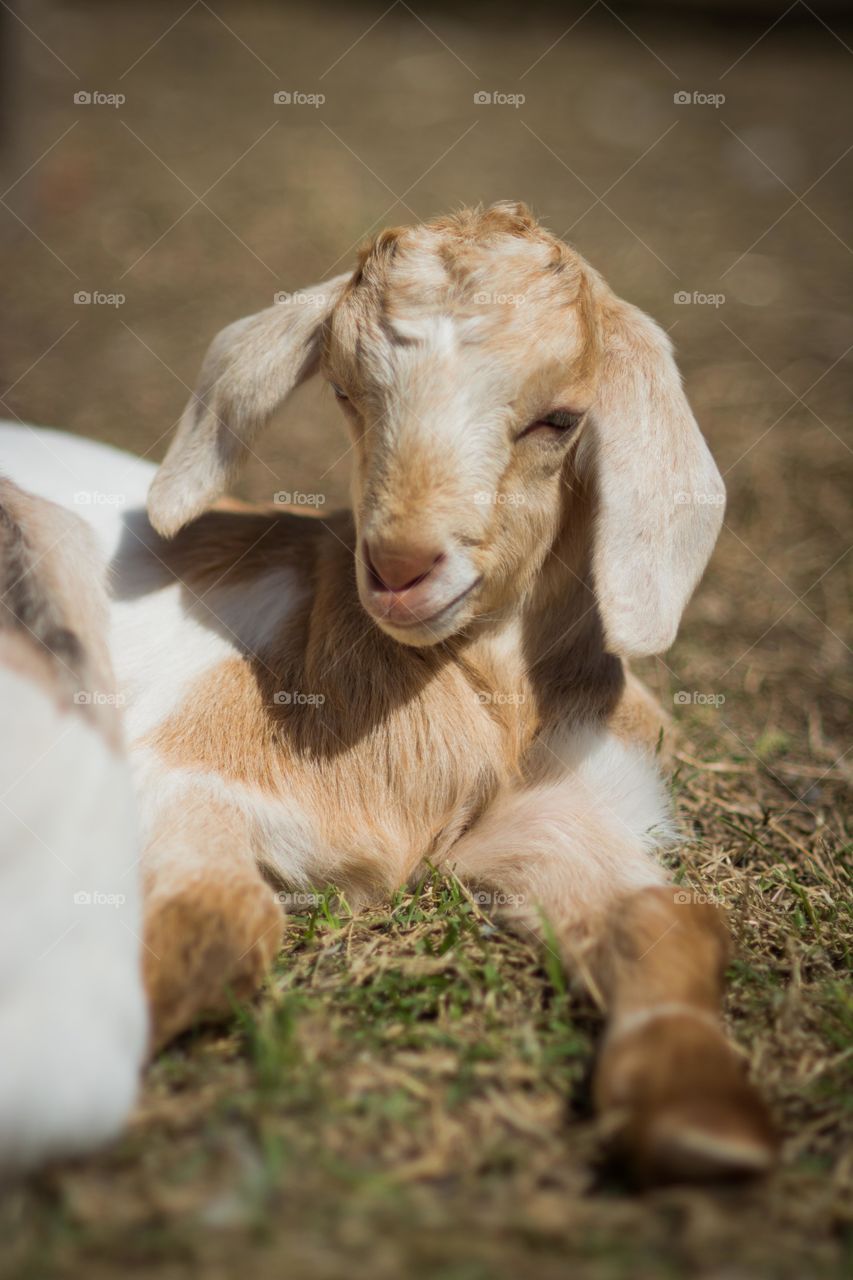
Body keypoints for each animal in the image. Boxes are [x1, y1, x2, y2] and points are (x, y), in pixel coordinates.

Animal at [0, 202, 774, 1182]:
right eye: (345, 392)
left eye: (560, 419)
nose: (402, 567)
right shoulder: (173, 774)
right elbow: (223, 920)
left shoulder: (561, 817)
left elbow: (674, 916)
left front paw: (697, 1120)